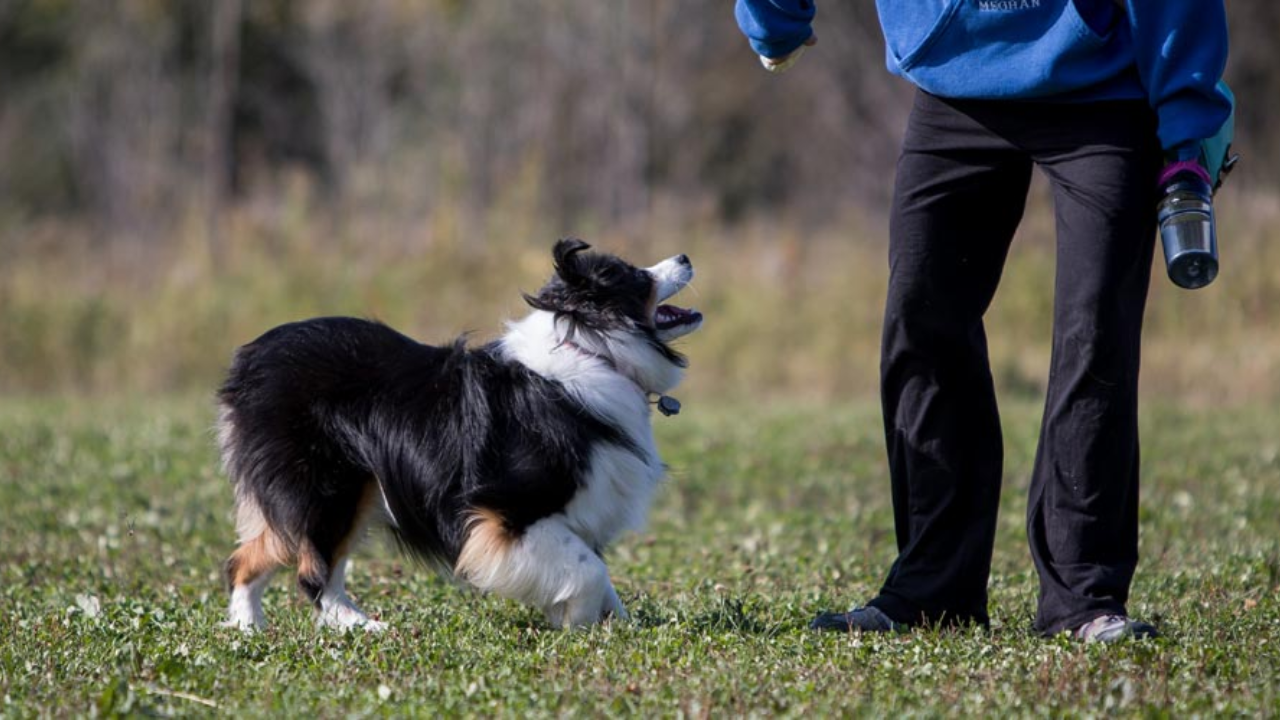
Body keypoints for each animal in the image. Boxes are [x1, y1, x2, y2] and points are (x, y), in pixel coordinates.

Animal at [216, 239, 706, 627]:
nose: (685, 256)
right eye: (634, 275)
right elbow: (590, 570)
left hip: (351, 488)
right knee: (312, 571)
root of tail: (246, 363)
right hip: (329, 485)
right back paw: (362, 627)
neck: (590, 346)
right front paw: (581, 623)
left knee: (248, 560)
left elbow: (599, 576)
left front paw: (613, 624)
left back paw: (248, 629)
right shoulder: (506, 511)